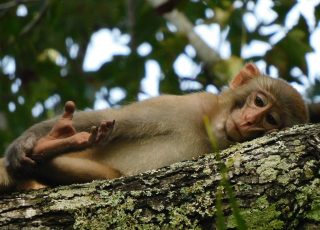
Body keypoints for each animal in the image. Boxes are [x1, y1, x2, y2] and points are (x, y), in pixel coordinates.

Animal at [0, 63, 310, 192]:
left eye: (271, 122)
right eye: (259, 102)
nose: (247, 122)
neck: (208, 130)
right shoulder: (183, 107)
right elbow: (113, 118)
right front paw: (25, 142)